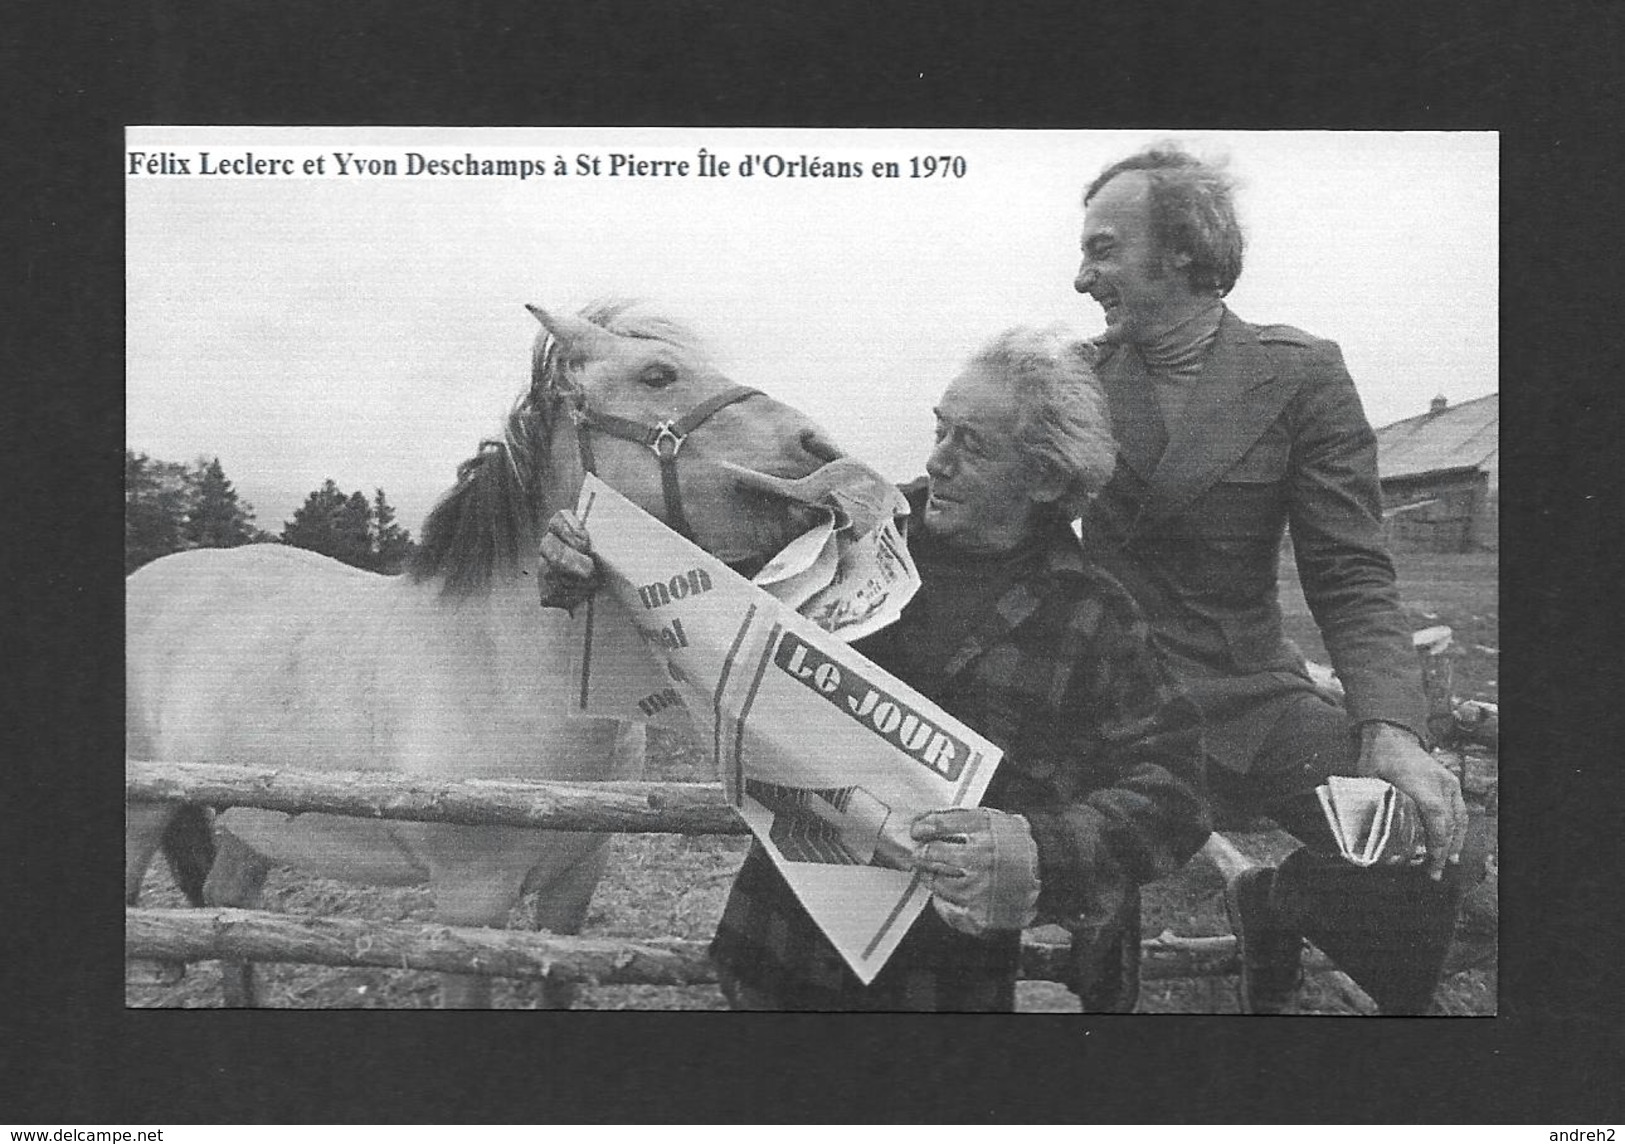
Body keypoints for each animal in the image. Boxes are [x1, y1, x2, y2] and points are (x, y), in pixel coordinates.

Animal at [123, 299, 838, 1007]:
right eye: (657, 375)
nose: (822, 448)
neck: (500, 671)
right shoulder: (470, 909)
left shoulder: (573, 888)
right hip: (145, 811)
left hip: (253, 820)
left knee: (228, 911)